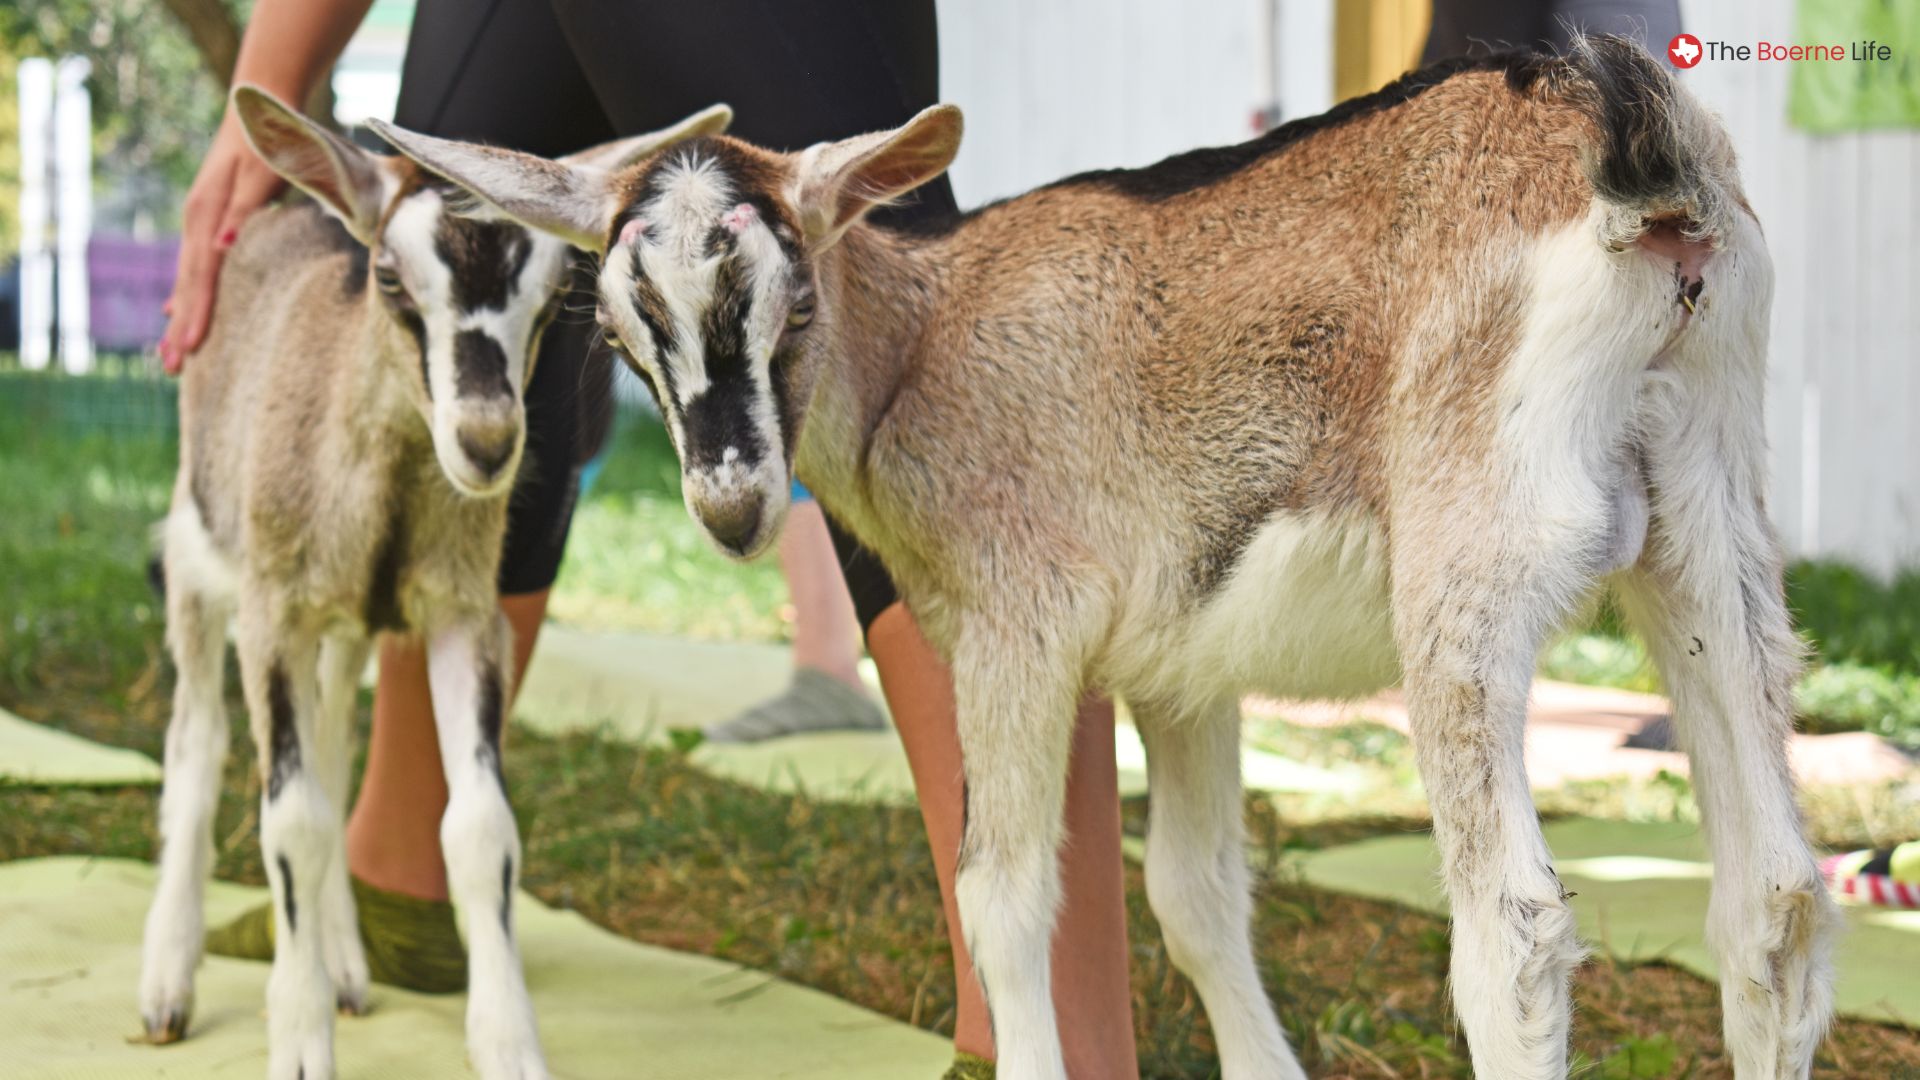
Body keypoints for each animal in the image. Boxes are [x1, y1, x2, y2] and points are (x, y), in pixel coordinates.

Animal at [136, 86, 730, 1080]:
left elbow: (480, 828)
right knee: (197, 744)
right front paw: (299, 1039)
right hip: (198, 552)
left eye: (554, 298)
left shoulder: (463, 616)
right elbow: (289, 820)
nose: (487, 444)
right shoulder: (274, 613)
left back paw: (343, 960)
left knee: (334, 745)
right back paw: (168, 978)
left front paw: (507, 1041)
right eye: (387, 276)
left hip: (344, 628)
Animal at [378, 38, 1839, 1079]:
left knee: (1517, 937)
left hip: (1469, 550)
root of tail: (1623, 146)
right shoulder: (1181, 666)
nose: (733, 504)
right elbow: (1194, 898)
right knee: (1772, 900)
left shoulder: (1020, 629)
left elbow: (1005, 898)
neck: (929, 338)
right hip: (1708, 516)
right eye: (627, 332)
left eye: (788, 305)